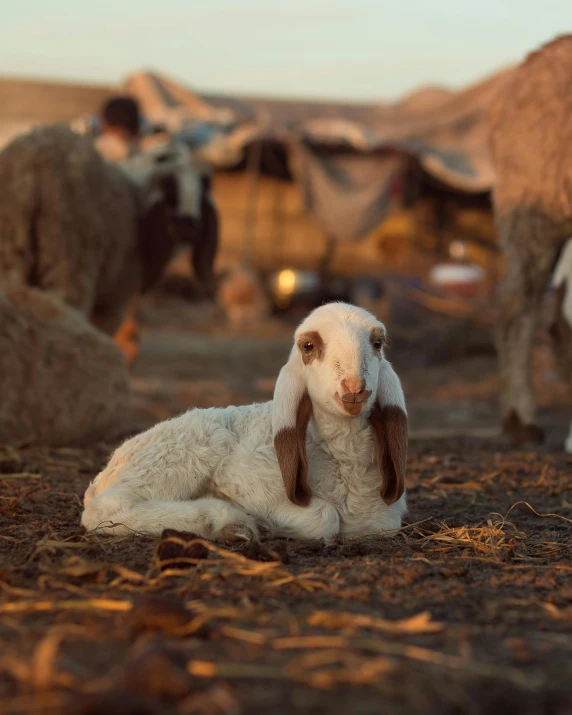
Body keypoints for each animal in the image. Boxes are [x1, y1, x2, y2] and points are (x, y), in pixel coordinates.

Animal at [82, 302, 408, 544]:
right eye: (308, 346)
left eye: (377, 343)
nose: (354, 387)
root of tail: (104, 473)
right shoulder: (241, 475)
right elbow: (324, 518)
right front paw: (264, 520)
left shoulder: (385, 517)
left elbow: (382, 522)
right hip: (183, 451)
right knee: (107, 508)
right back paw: (229, 522)